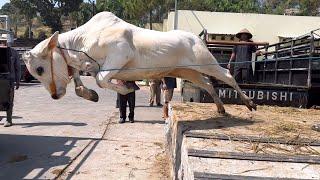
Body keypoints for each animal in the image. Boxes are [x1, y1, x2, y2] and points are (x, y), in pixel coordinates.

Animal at [21, 11, 258, 113]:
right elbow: (82, 81)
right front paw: (90, 94)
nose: (55, 95)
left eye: (40, 68)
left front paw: (128, 88)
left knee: (227, 75)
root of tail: (197, 38)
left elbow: (100, 79)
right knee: (208, 84)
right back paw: (220, 108)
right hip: (187, 71)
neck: (83, 39)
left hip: (206, 63)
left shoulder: (119, 56)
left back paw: (249, 103)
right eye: (34, 73)